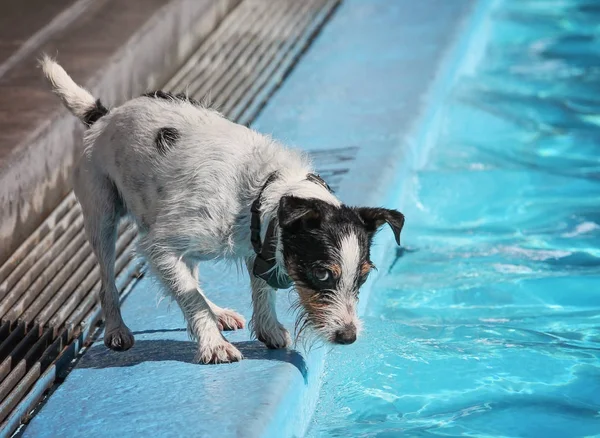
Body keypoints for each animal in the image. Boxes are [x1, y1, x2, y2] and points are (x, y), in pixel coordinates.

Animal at [39, 56, 406, 364]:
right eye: (322, 273)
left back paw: (218, 313)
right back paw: (117, 330)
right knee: (108, 283)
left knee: (190, 278)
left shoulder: (258, 246)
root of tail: (104, 115)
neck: (262, 189)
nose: (348, 336)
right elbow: (191, 297)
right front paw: (213, 345)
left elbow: (253, 290)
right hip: (102, 214)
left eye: (362, 276)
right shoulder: (159, 247)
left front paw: (267, 329)